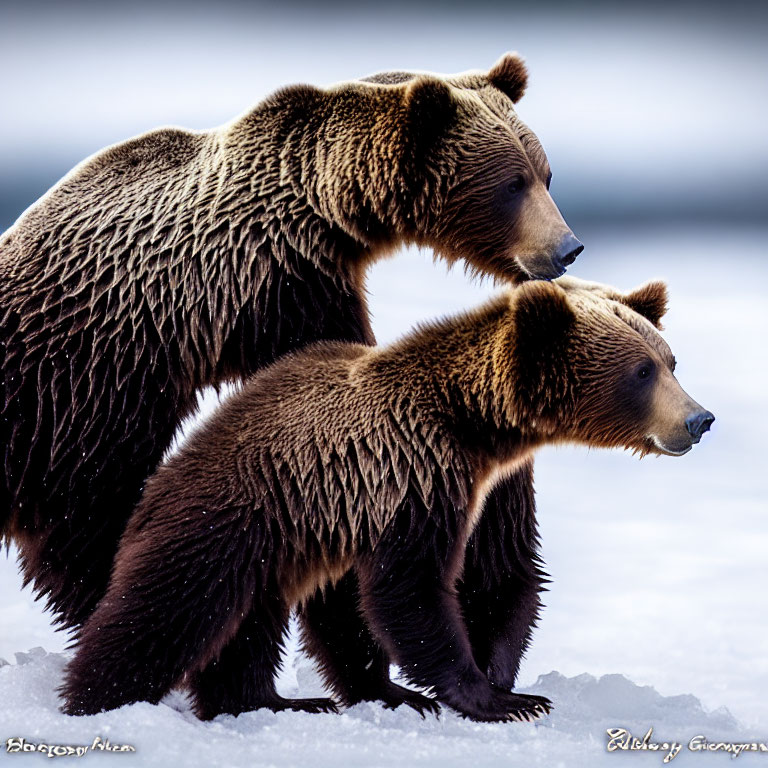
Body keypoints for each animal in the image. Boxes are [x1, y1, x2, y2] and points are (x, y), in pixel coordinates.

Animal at [0, 51, 580, 708]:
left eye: (546, 173)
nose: (567, 248)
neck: (328, 212)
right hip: (67, 405)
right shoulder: (278, 287)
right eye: (511, 184)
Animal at [60, 280, 712, 724]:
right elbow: (411, 590)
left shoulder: (495, 489)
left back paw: (287, 701)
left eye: (671, 359)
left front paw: (506, 682)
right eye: (641, 371)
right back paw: (95, 699)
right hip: (223, 524)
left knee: (258, 627)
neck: (474, 425)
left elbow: (503, 577)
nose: (698, 419)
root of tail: (153, 491)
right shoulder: (415, 475)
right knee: (163, 616)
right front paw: (490, 697)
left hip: (281, 547)